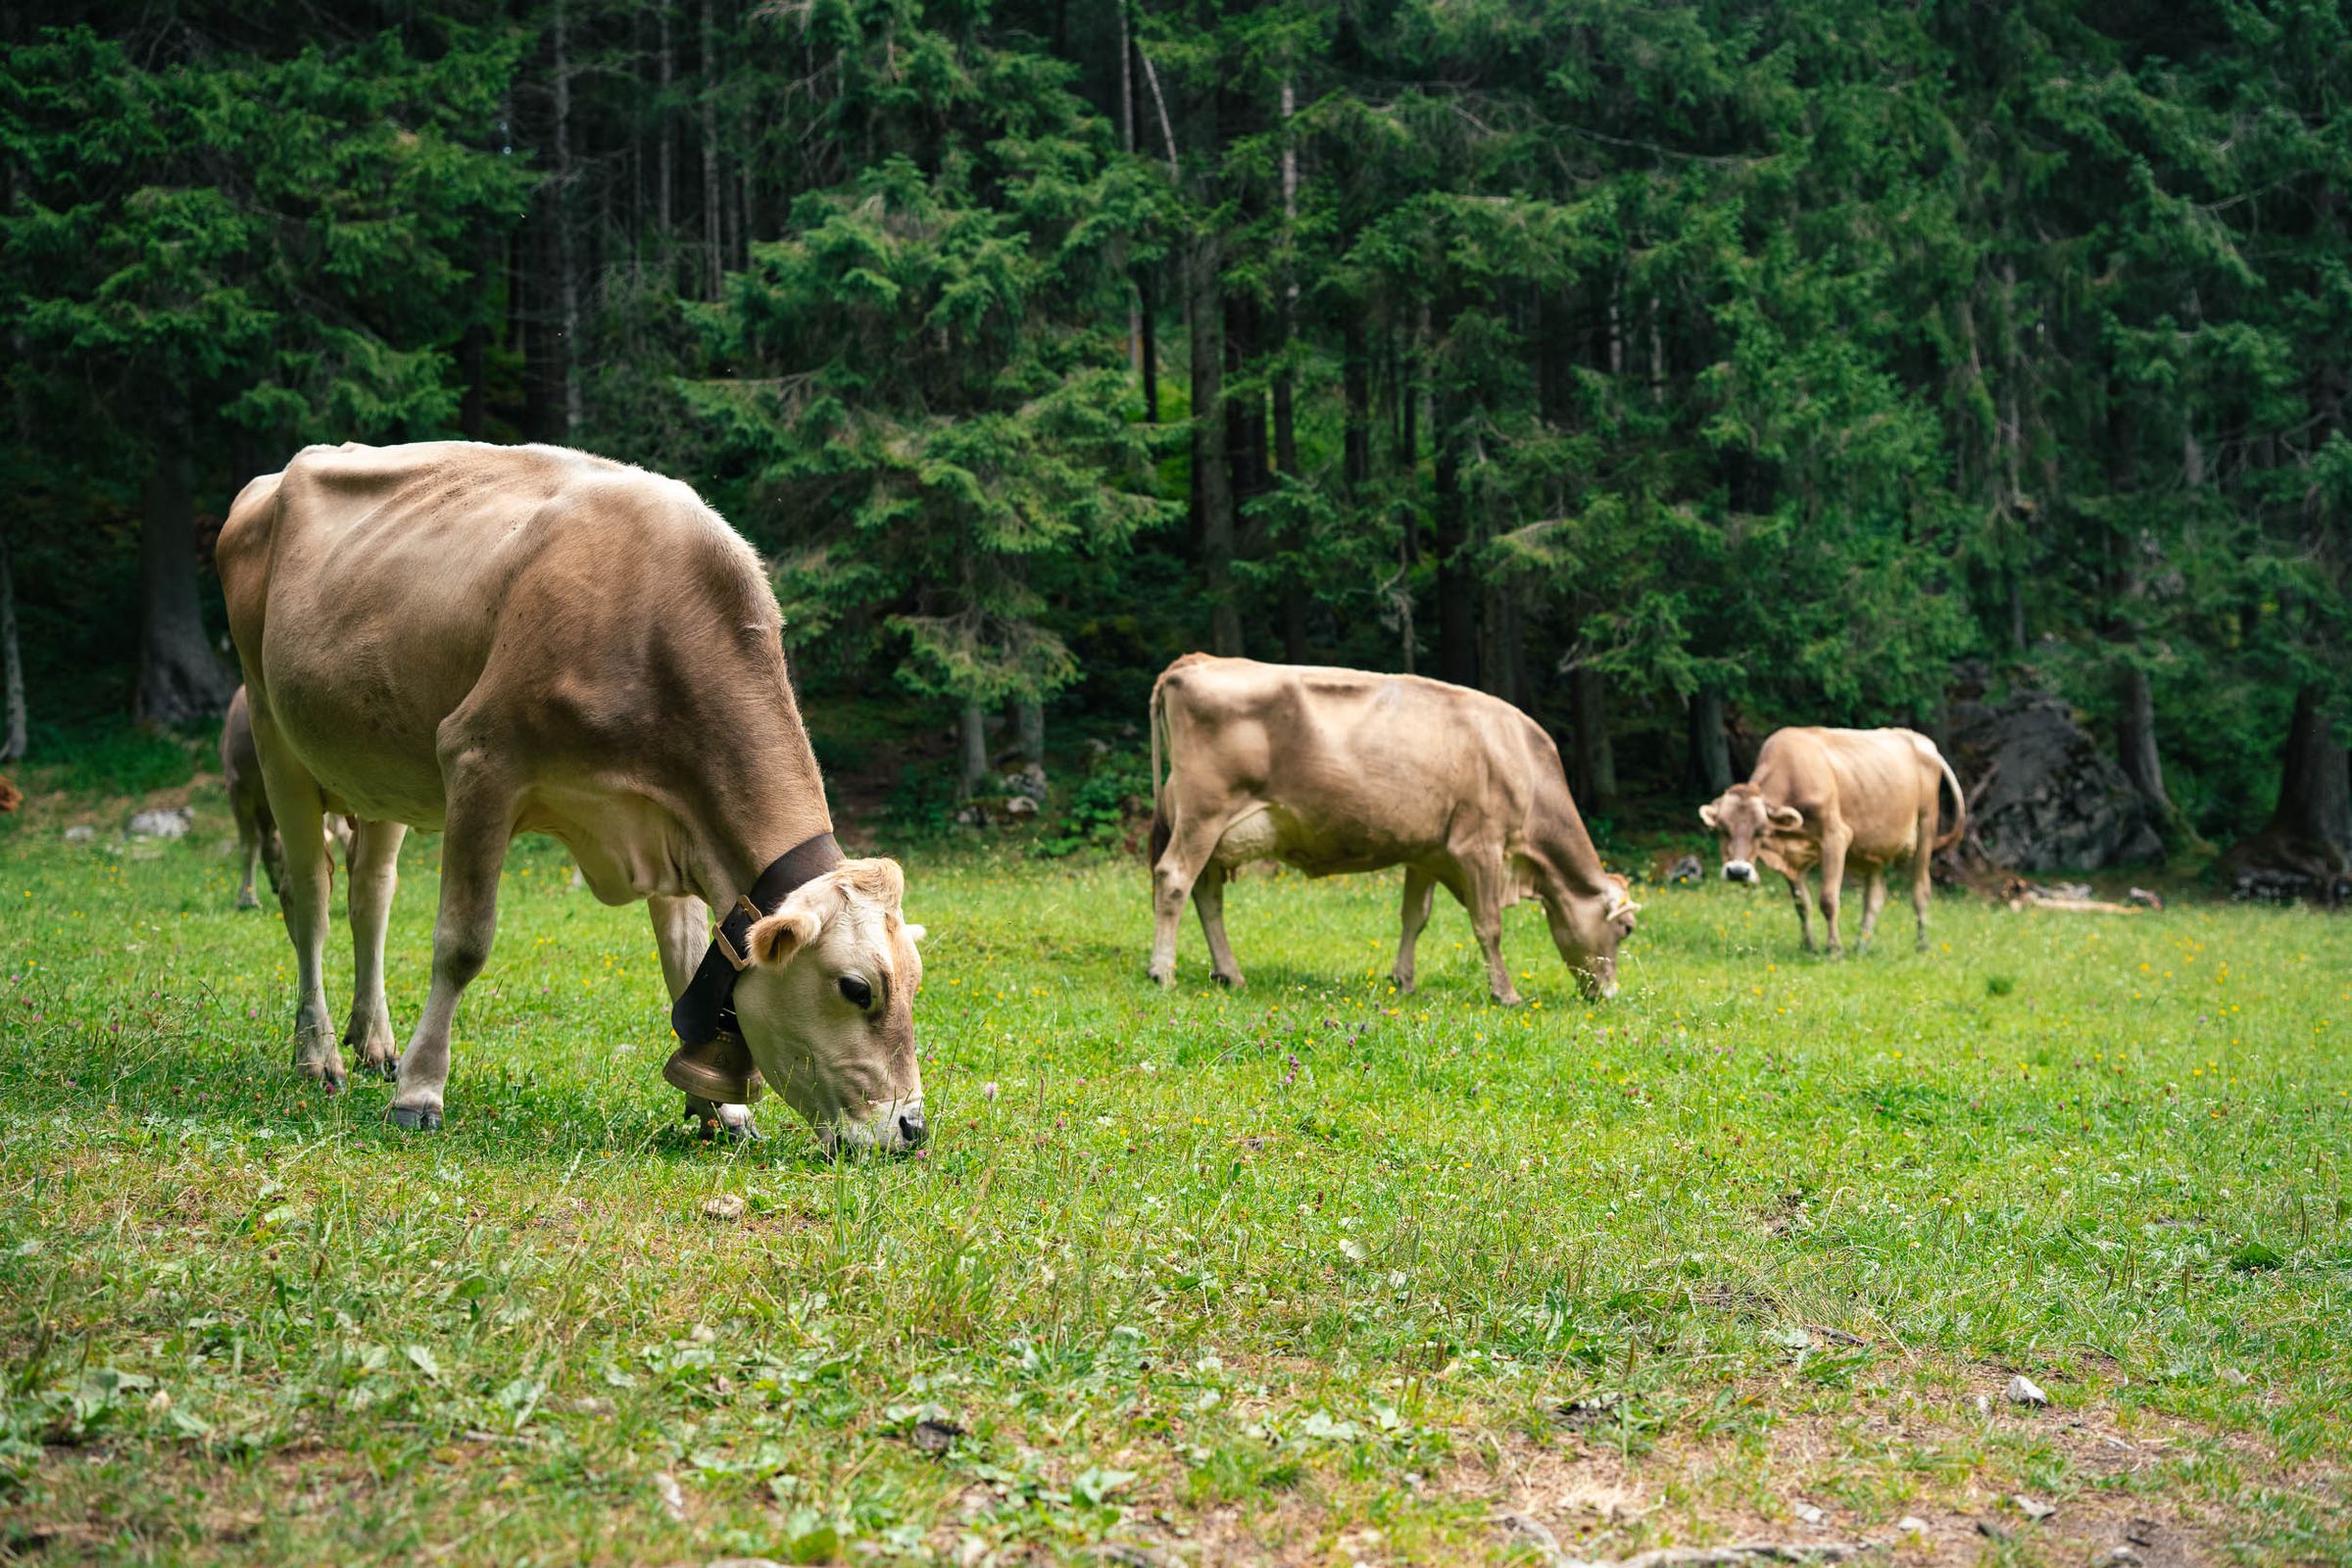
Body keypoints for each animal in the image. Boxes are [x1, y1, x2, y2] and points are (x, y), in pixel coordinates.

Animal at [1146, 655, 1639, 1003]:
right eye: (1627, 930)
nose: (1609, 994)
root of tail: (1194, 660)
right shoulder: (1479, 847)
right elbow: (1489, 925)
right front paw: (1506, 993)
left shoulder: (1427, 852)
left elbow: (1414, 918)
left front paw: (1404, 980)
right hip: (1204, 814)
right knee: (1174, 880)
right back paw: (1162, 972)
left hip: (1212, 830)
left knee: (1208, 896)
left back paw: (1229, 974)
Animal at [1698, 726, 1965, 956]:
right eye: (1722, 828)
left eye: (1761, 831)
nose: (1738, 872)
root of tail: (1920, 740)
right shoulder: (1792, 857)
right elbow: (1801, 903)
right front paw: (1809, 946)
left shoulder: (1835, 837)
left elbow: (1828, 899)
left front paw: (1834, 949)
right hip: (1873, 848)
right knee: (1875, 897)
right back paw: (1861, 946)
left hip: (1926, 826)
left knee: (1920, 891)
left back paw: (1922, 945)